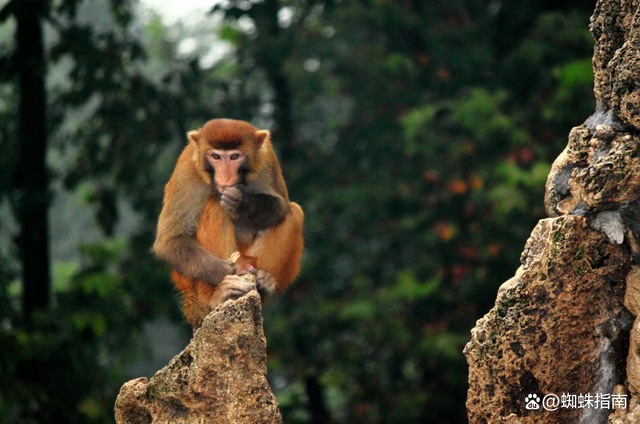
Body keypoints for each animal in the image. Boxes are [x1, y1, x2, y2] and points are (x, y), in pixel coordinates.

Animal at [154, 119, 304, 328]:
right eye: (216, 156)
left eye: (234, 156)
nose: (225, 177)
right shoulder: (187, 171)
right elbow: (170, 240)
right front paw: (225, 270)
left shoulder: (267, 158)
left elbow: (281, 206)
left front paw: (242, 204)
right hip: (188, 282)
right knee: (215, 205)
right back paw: (217, 297)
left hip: (252, 258)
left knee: (294, 212)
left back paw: (265, 283)